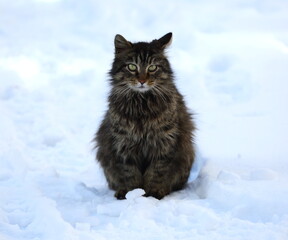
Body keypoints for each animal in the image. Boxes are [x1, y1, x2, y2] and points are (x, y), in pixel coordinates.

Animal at [94, 32, 196, 200]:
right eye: (132, 66)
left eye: (152, 67)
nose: (142, 80)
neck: (141, 105)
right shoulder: (124, 144)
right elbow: (130, 174)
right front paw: (131, 193)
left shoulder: (163, 144)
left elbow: (156, 173)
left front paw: (152, 193)